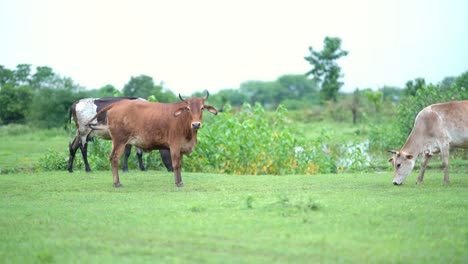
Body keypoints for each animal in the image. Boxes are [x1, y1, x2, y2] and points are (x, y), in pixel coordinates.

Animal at [86, 92, 218, 187]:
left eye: (202, 108)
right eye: (188, 108)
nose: (196, 124)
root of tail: (118, 104)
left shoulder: (181, 147)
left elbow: (180, 164)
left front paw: (180, 181)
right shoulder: (174, 145)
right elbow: (176, 164)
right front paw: (178, 183)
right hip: (120, 141)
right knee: (114, 158)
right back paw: (117, 183)